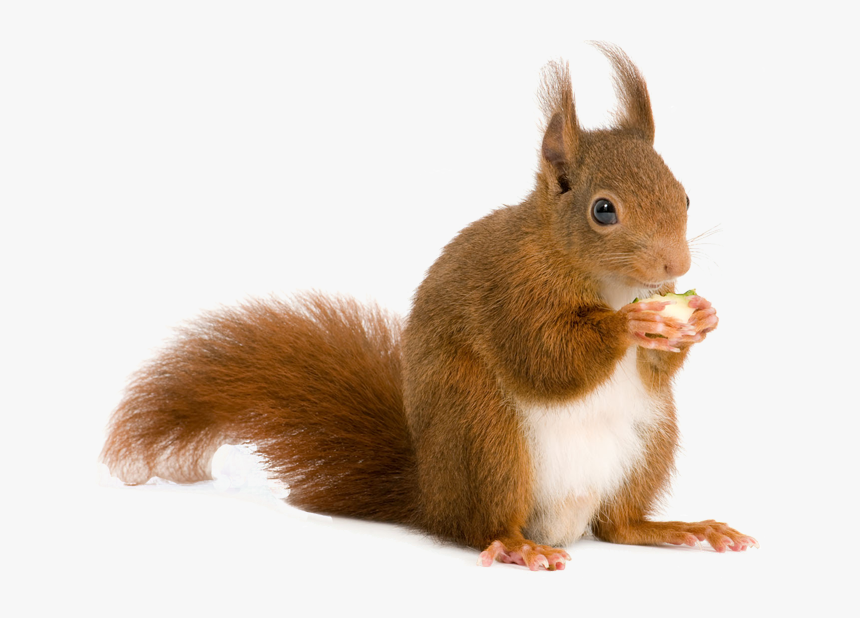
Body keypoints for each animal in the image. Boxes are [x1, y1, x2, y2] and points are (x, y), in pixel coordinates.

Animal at [101, 42, 757, 571]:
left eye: (685, 196)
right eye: (603, 210)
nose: (676, 267)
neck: (603, 278)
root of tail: (430, 496)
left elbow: (654, 367)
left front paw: (699, 319)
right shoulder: (510, 287)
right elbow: (544, 355)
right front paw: (631, 323)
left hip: (651, 439)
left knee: (618, 526)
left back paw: (679, 529)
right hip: (486, 438)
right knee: (482, 526)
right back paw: (516, 546)